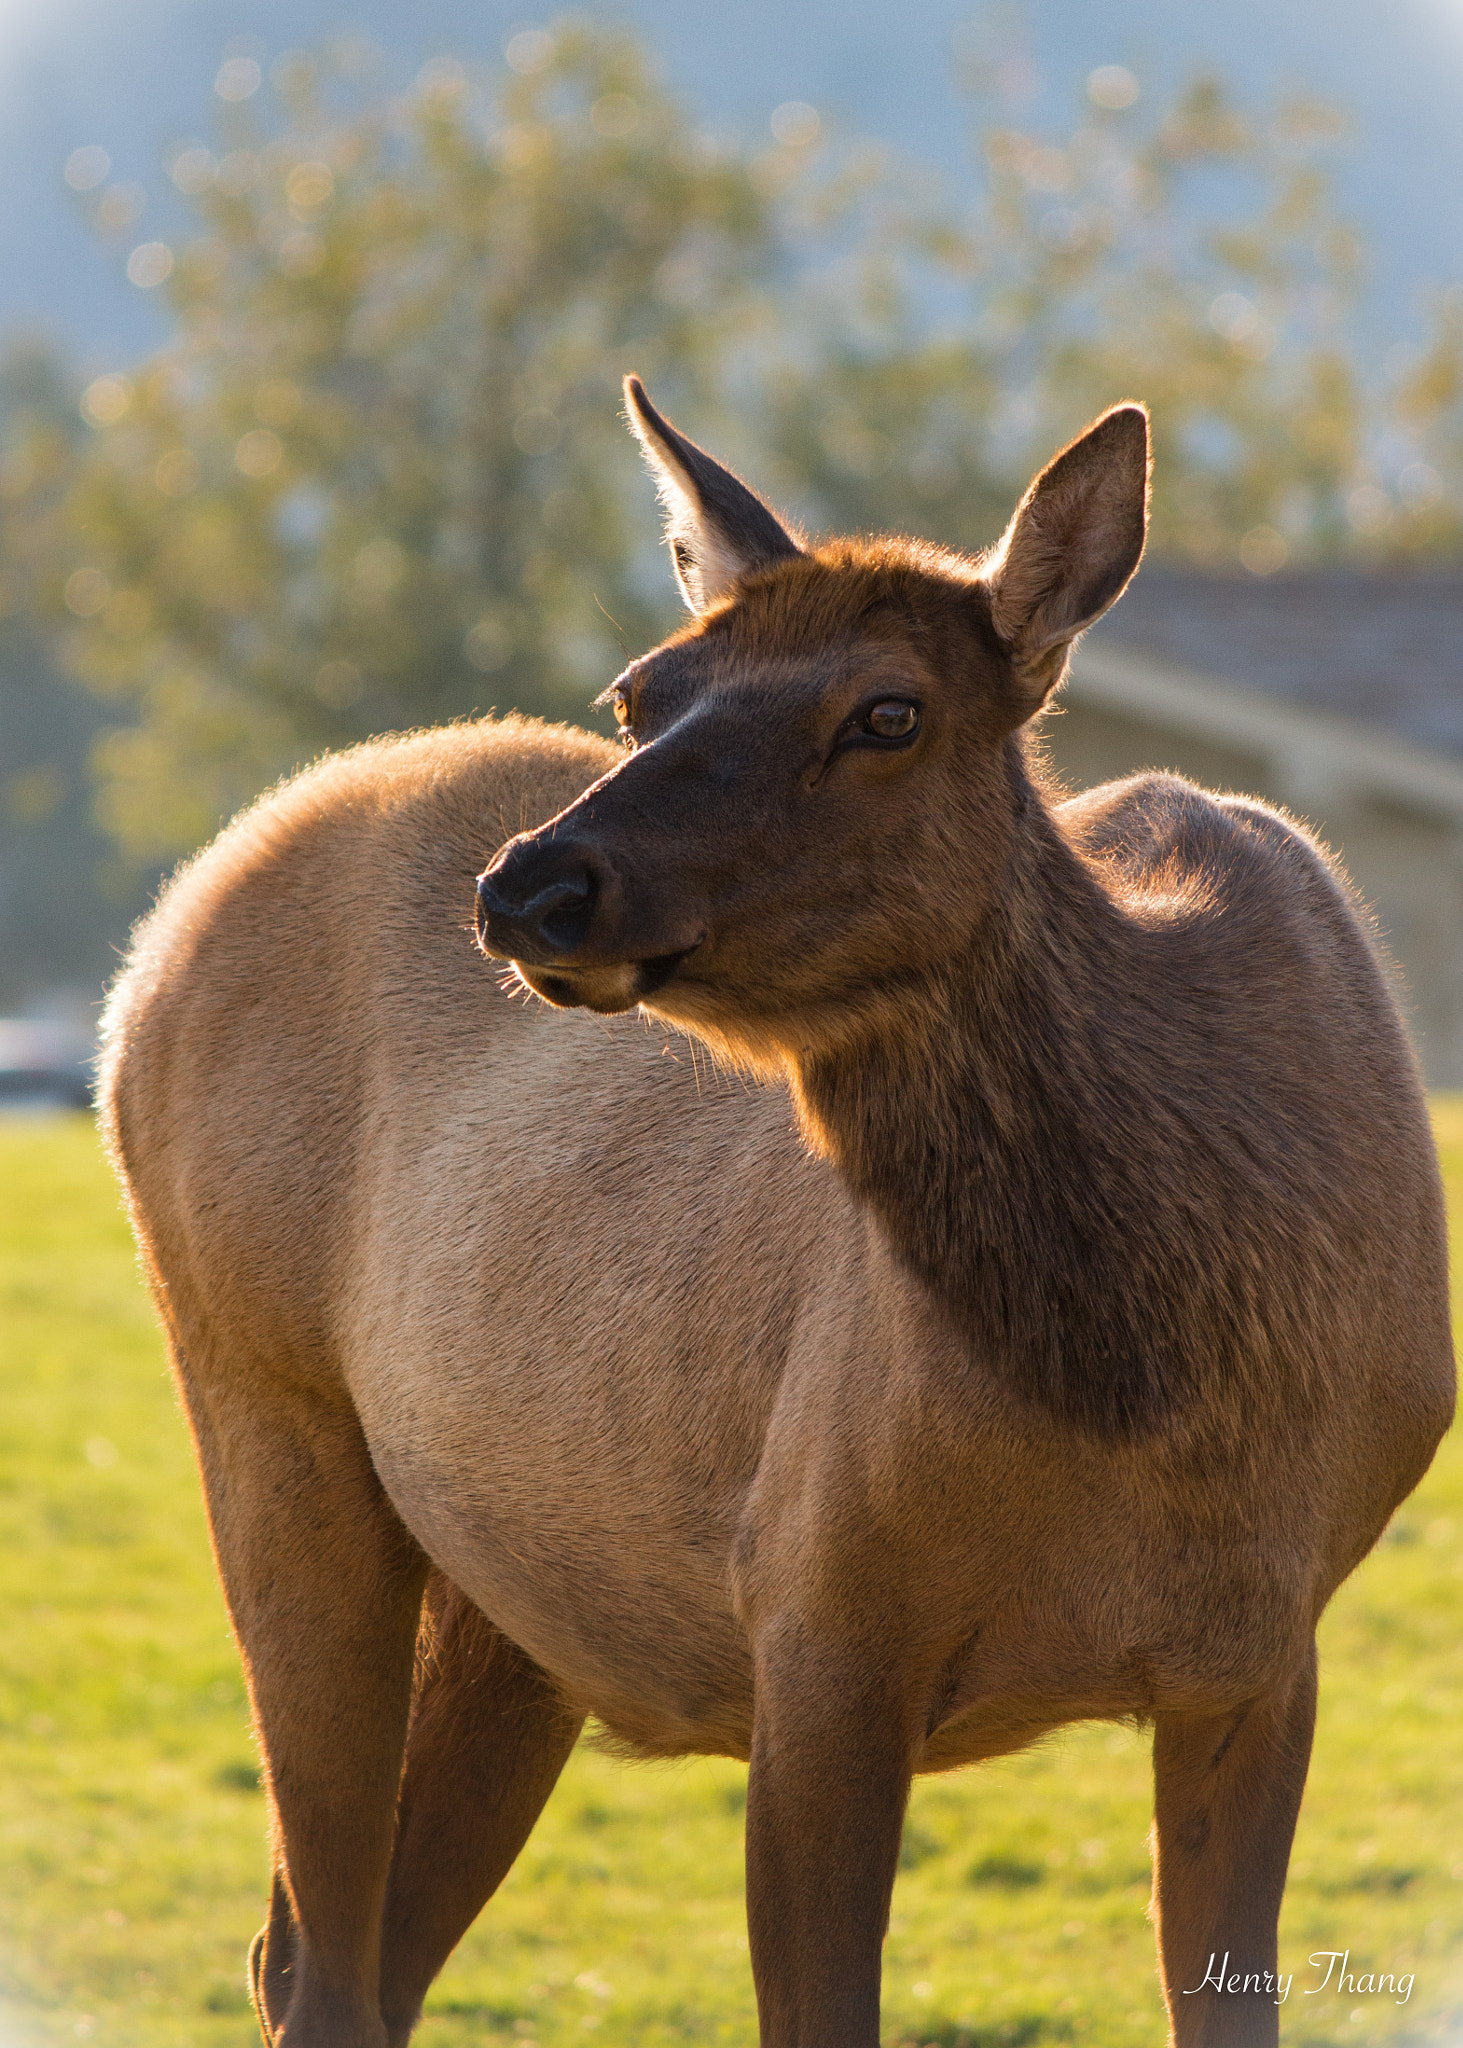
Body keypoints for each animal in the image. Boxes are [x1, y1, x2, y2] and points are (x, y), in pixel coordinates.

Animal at [99, 379, 1455, 2048]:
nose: (532, 887)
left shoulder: (1261, 1652)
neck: (1153, 1408)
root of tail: (153, 949)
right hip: (254, 1386)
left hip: (508, 1593)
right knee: (320, 1950)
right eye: (642, 693)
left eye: (889, 712)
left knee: (323, 1945)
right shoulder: (812, 1607)